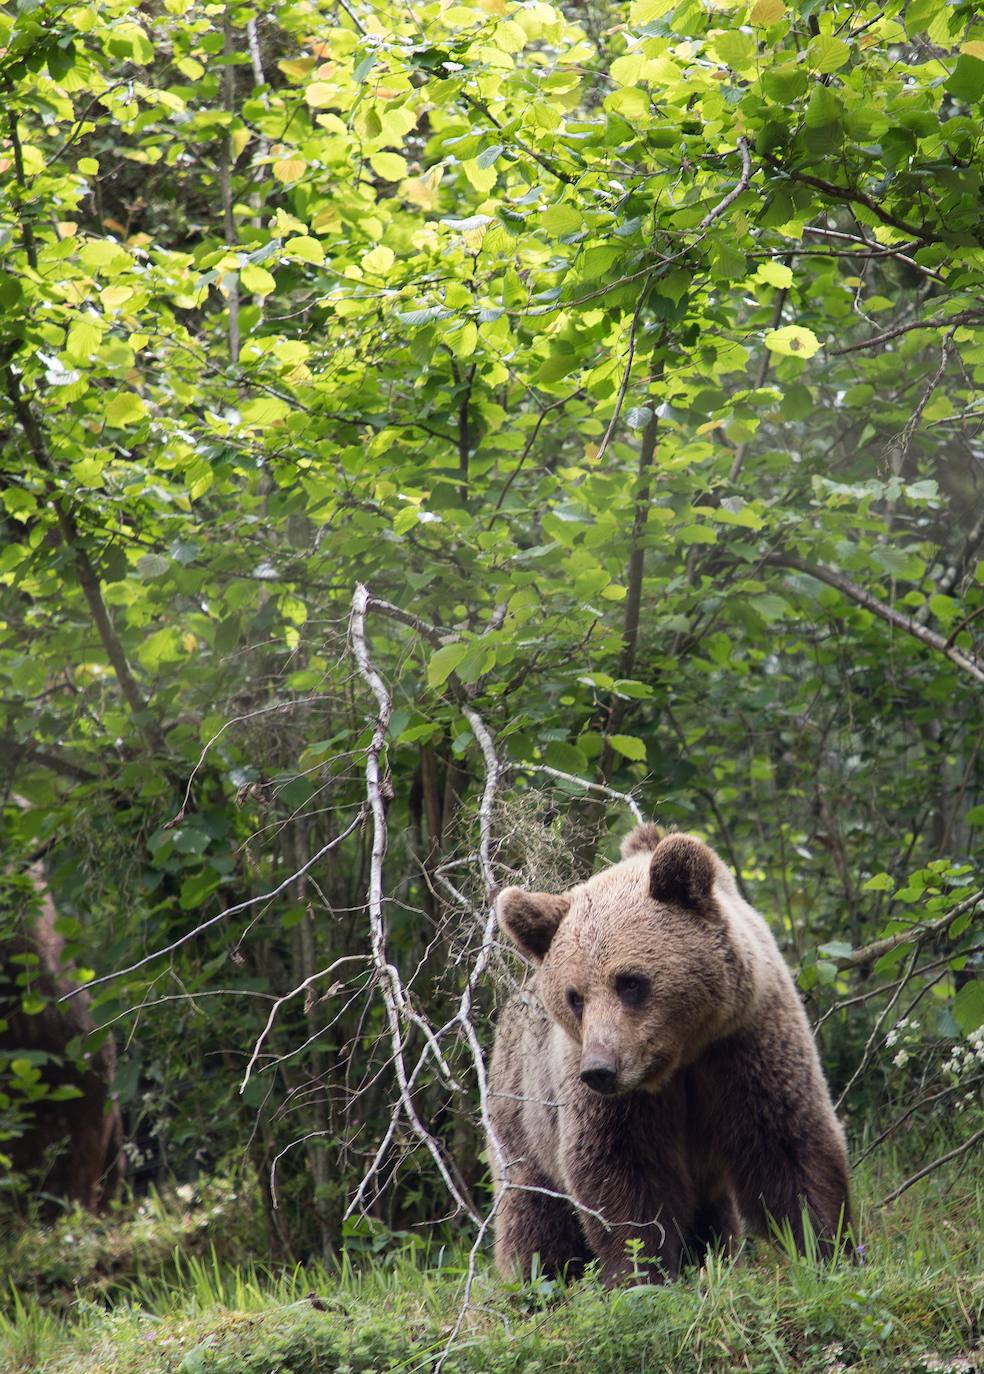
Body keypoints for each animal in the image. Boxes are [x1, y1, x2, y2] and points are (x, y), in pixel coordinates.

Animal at [489, 824, 852, 1286]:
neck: (681, 1054)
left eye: (630, 981)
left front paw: (827, 1248)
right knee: (534, 1211)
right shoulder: (612, 1101)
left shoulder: (745, 1045)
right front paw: (640, 1272)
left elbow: (787, 1142)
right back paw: (539, 1278)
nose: (600, 1069)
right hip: (522, 1115)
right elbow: (622, 1173)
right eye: (575, 997)